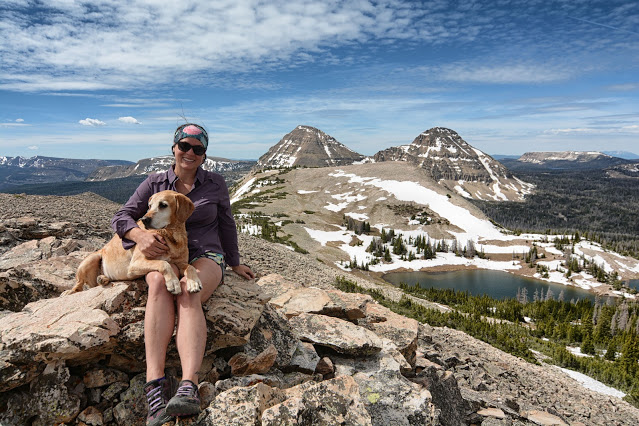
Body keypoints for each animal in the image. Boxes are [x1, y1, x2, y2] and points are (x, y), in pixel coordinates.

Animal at [69, 191, 201, 294]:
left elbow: (190, 267)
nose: (144, 219)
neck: (171, 235)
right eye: (149, 206)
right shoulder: (135, 264)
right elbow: (164, 263)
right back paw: (72, 291)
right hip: (91, 259)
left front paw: (194, 282)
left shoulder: (181, 262)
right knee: (79, 284)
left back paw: (103, 278)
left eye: (163, 205)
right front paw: (173, 282)